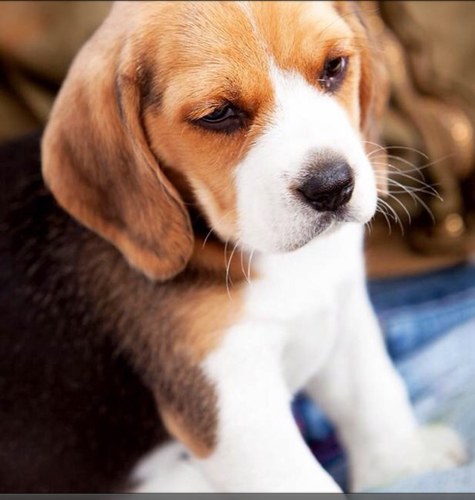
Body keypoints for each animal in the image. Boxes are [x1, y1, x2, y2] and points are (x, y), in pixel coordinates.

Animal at [0, 0, 466, 492]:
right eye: (219, 114)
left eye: (334, 67)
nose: (332, 187)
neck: (281, 261)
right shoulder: (235, 405)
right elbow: (303, 479)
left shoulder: (343, 309)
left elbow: (374, 396)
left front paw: (405, 466)